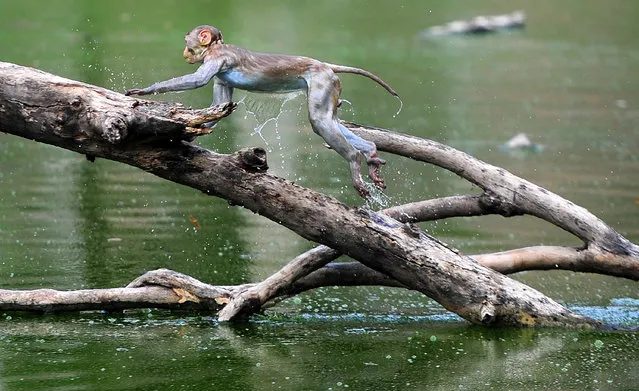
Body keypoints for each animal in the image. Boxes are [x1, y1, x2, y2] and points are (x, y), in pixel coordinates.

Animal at [126, 24, 400, 198]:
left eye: (187, 42)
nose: (184, 51)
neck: (215, 47)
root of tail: (324, 65)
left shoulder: (217, 58)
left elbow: (198, 81)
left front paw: (147, 90)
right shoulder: (221, 77)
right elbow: (217, 107)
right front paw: (193, 130)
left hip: (323, 81)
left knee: (319, 120)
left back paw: (354, 159)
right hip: (331, 85)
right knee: (329, 119)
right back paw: (370, 152)